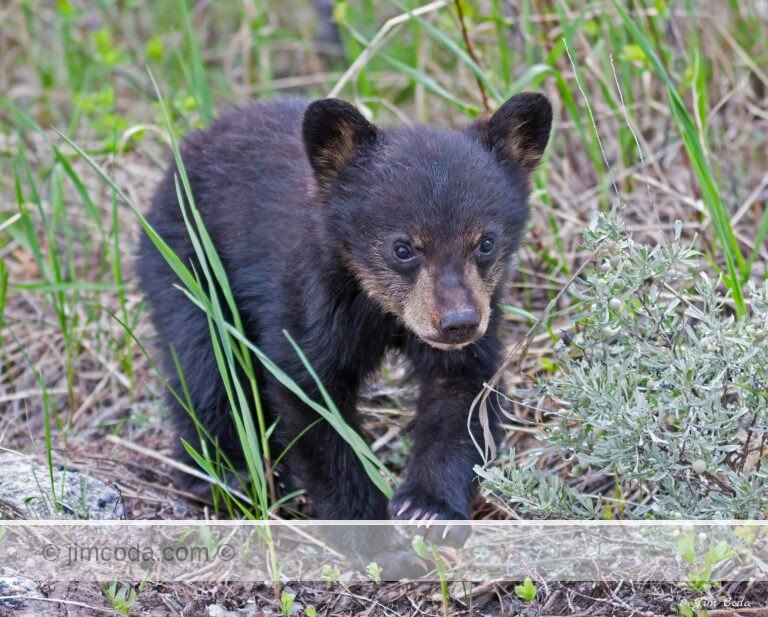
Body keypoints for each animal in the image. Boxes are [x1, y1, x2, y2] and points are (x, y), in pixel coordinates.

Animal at [137, 94, 552, 534]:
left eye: (486, 242)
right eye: (402, 248)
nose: (458, 323)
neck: (378, 306)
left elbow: (462, 394)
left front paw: (429, 507)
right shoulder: (310, 301)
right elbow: (311, 398)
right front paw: (365, 524)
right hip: (186, 255)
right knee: (204, 360)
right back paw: (227, 474)